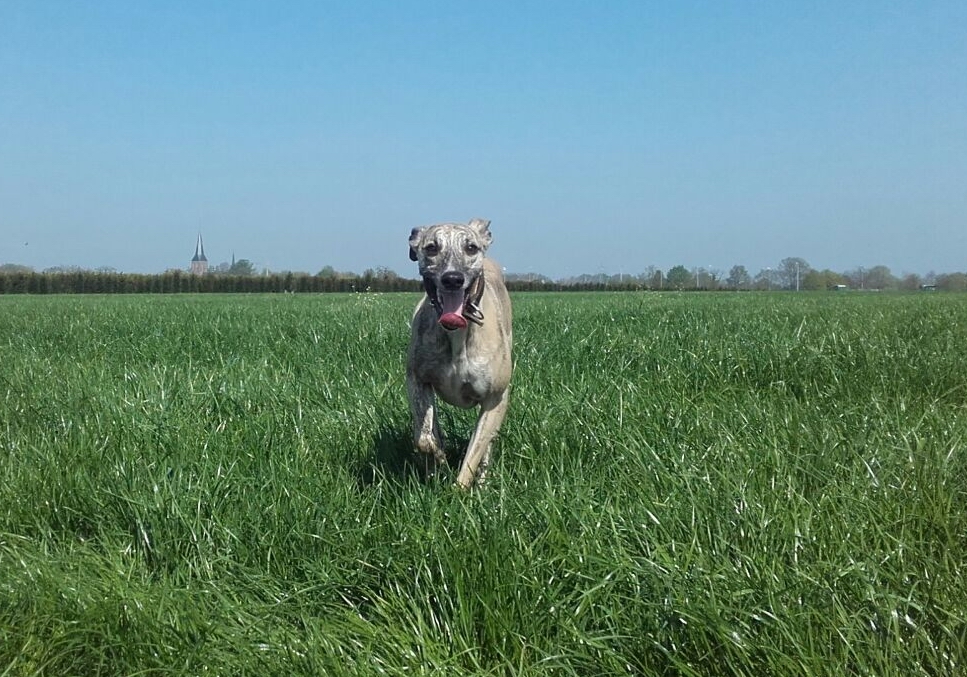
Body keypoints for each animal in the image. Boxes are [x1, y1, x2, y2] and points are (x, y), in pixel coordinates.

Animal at [406, 218, 513, 488]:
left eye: (471, 247)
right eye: (431, 247)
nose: (453, 278)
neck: (457, 332)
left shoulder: (495, 399)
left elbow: (474, 453)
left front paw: (459, 488)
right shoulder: (417, 379)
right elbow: (424, 436)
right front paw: (438, 459)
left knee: (487, 445)